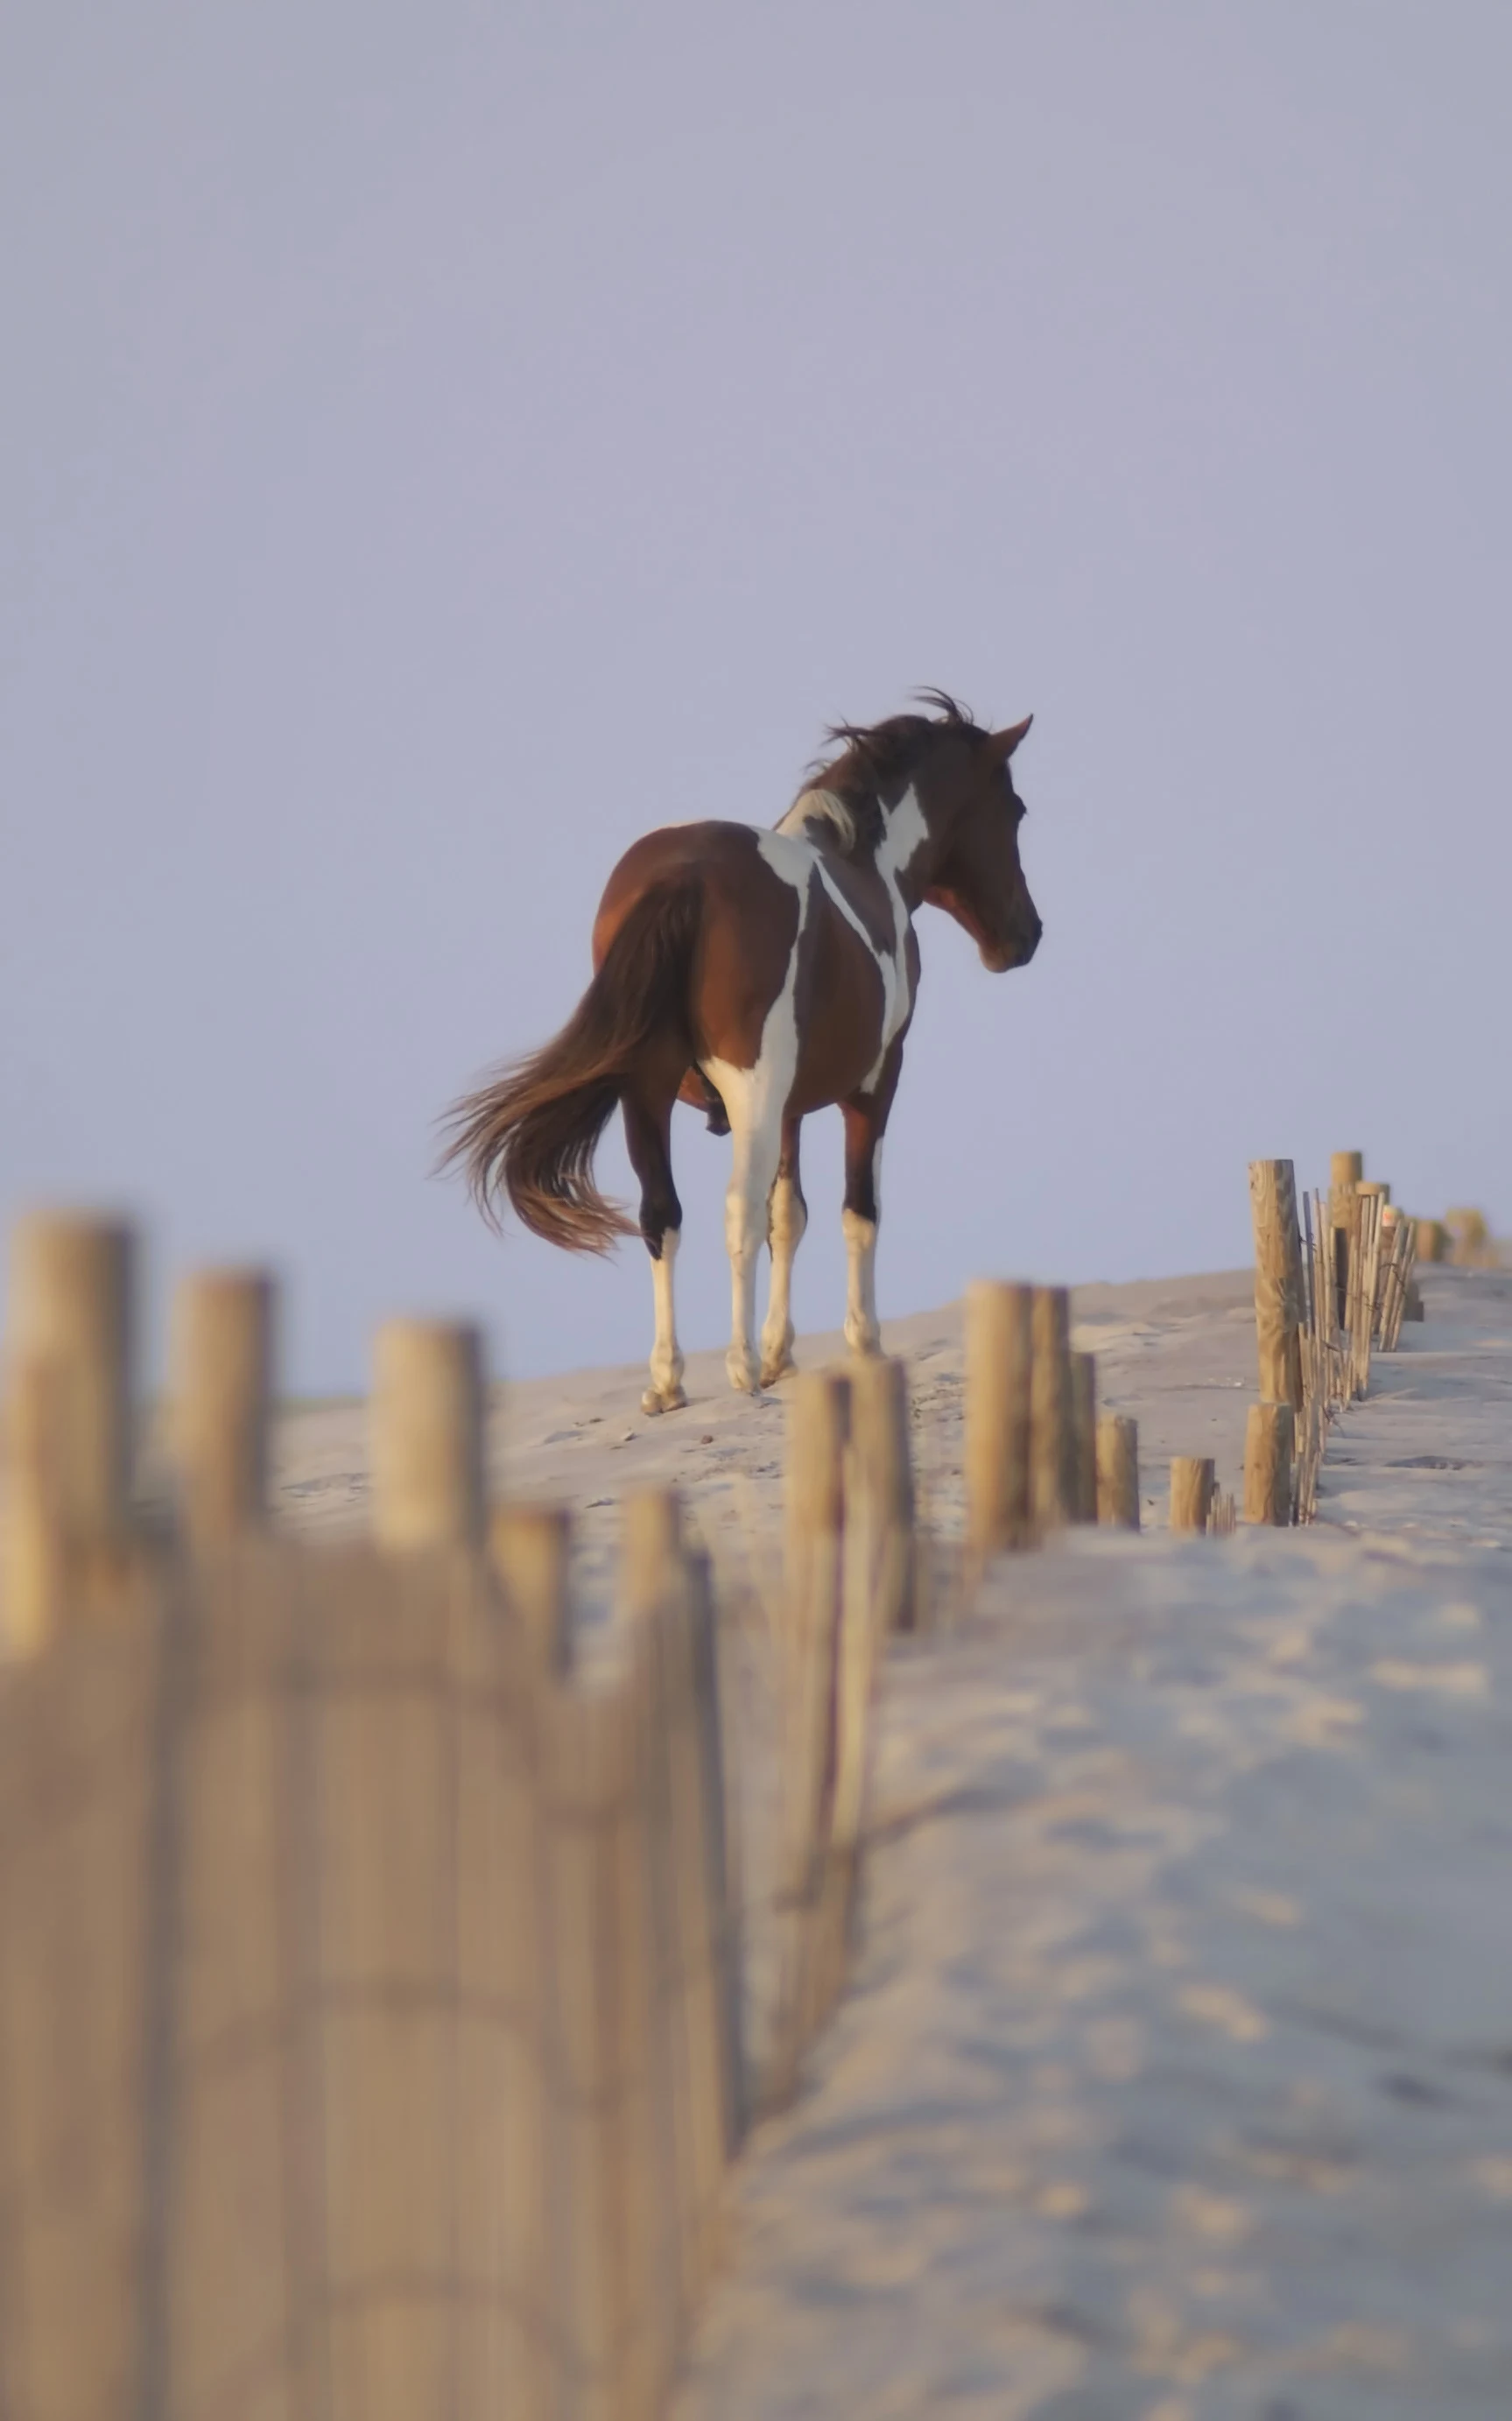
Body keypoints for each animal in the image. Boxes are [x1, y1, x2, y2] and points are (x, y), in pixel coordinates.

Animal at [441, 692, 1042, 1413]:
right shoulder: (874, 1082)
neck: (868, 864)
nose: (1026, 935)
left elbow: (788, 1215)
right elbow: (853, 1211)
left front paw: (783, 1350)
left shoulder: (789, 1108)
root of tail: (686, 871)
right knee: (736, 1210)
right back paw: (740, 1363)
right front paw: (860, 1346)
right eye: (1015, 810)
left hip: (647, 1089)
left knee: (662, 1215)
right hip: (749, 1091)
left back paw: (667, 1378)